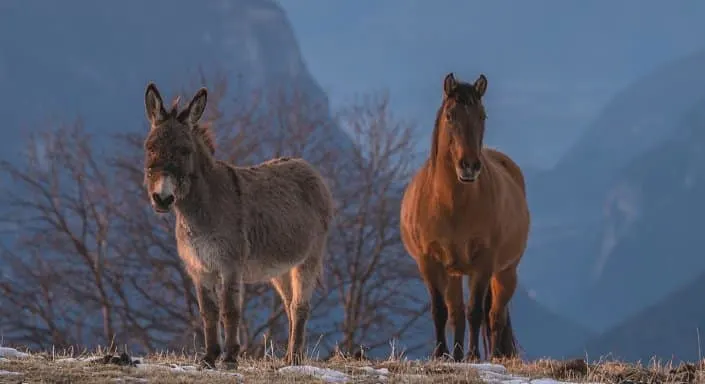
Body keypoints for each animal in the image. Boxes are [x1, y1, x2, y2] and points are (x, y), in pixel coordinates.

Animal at [142, 83, 334, 368]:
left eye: (185, 151)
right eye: (150, 147)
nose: (162, 199)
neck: (199, 211)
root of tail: (306, 166)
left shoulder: (230, 264)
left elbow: (230, 310)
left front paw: (231, 356)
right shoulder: (199, 269)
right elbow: (208, 313)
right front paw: (209, 357)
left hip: (308, 258)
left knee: (300, 306)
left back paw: (295, 359)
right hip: (280, 268)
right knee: (289, 305)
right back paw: (288, 356)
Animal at [402, 73, 528, 364]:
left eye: (482, 115)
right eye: (451, 115)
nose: (469, 165)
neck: (451, 206)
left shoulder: (483, 263)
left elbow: (475, 311)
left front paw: (473, 355)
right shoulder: (430, 262)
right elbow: (441, 310)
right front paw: (440, 354)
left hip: (505, 272)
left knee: (495, 315)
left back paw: (493, 356)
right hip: (454, 272)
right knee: (456, 312)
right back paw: (457, 355)